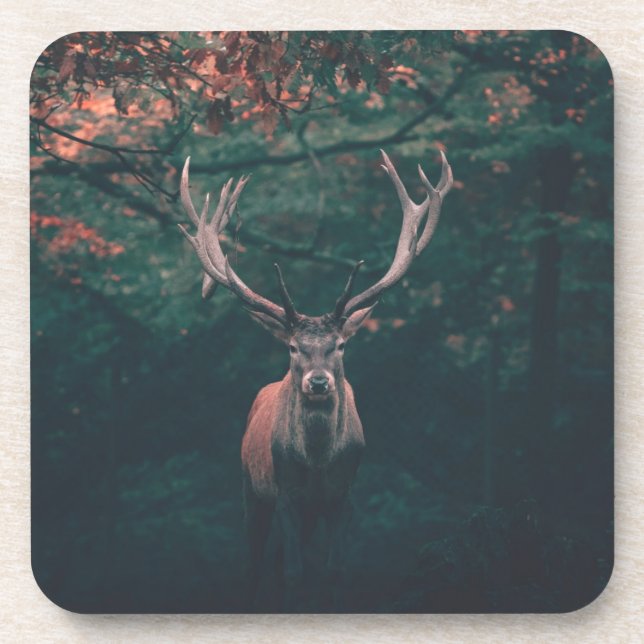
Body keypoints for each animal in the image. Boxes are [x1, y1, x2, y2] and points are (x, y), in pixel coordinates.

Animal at [178, 149, 453, 610]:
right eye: (292, 347)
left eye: (340, 345)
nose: (319, 383)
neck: (319, 462)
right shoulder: (285, 494)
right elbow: (292, 573)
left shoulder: (345, 496)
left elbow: (335, 570)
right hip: (250, 487)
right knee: (256, 563)